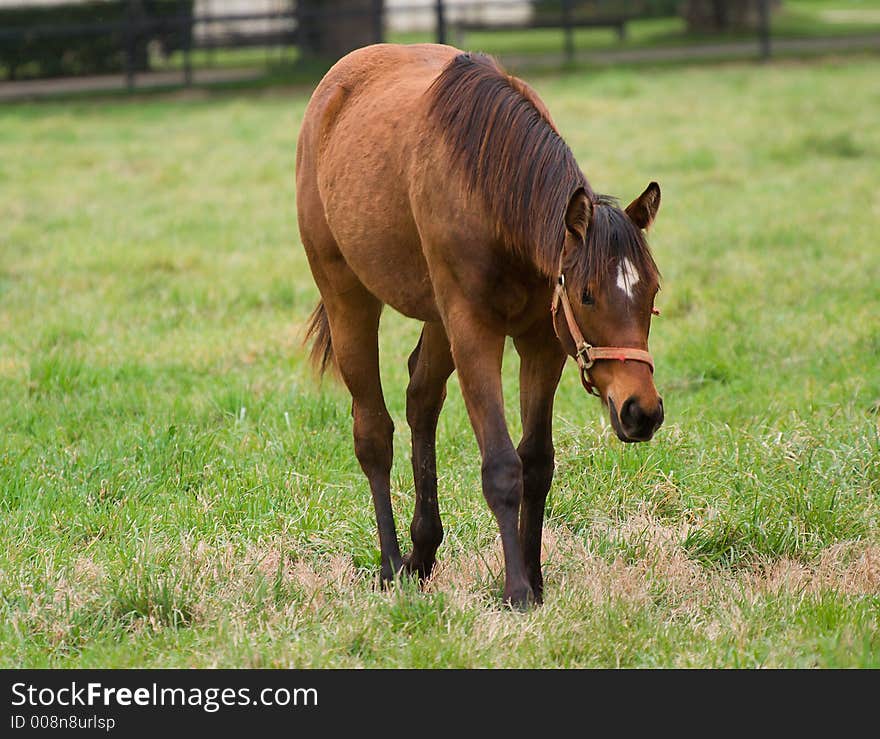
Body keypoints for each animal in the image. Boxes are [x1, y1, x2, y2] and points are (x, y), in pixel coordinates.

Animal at [294, 44, 660, 608]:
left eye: (652, 294)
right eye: (587, 295)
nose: (641, 411)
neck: (491, 191)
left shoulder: (541, 342)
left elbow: (537, 463)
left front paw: (535, 577)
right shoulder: (474, 333)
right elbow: (503, 467)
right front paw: (517, 591)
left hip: (437, 320)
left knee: (421, 398)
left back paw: (422, 553)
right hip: (348, 297)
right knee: (373, 432)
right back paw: (392, 565)